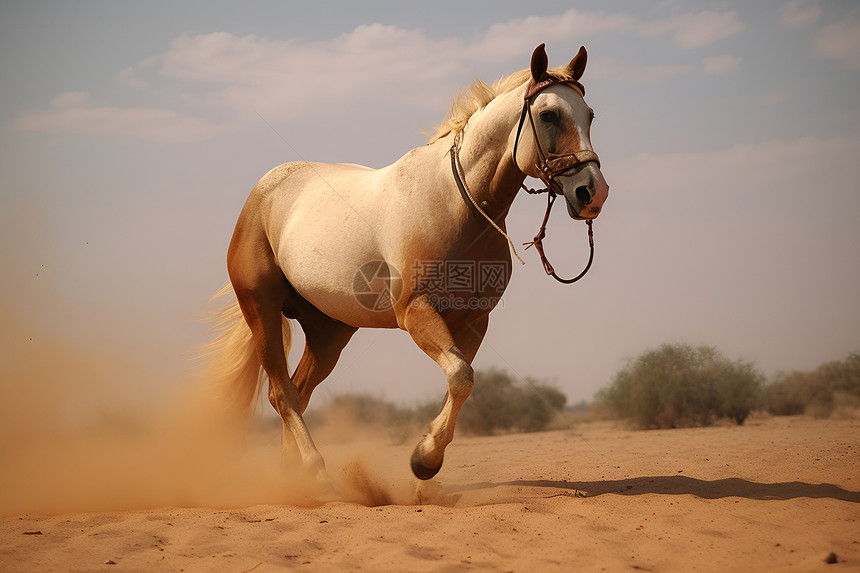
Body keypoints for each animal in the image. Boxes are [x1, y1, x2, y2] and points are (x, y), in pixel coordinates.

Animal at [207, 44, 612, 480]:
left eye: (589, 115)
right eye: (549, 114)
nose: (593, 192)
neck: (455, 205)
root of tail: (264, 191)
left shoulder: (473, 321)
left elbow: (461, 381)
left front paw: (426, 456)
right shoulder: (416, 312)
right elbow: (461, 377)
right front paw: (425, 459)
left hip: (328, 330)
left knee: (298, 392)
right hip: (261, 309)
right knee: (282, 394)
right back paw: (315, 472)